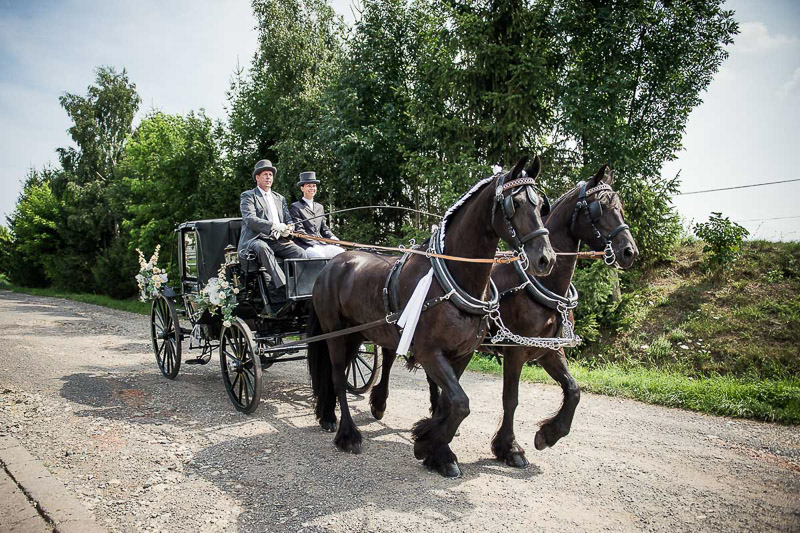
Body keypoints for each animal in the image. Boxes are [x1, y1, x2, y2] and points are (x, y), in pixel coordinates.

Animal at [306, 156, 556, 476]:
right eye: (516, 204)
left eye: (542, 205)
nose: (545, 258)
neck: (451, 279)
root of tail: (332, 263)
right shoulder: (429, 352)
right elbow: (461, 402)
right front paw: (429, 445)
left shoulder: (461, 354)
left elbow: (449, 404)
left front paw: (434, 447)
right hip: (335, 333)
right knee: (337, 377)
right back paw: (348, 435)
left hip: (356, 334)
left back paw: (328, 416)